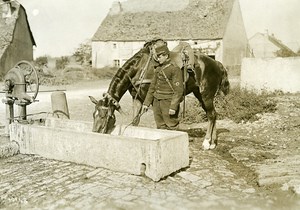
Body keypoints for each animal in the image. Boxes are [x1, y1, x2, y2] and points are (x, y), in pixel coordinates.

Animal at [89, 39, 230, 149]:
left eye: (105, 115)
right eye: (93, 114)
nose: (95, 132)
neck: (140, 68)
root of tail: (217, 63)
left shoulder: (151, 99)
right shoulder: (137, 99)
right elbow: (135, 121)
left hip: (206, 95)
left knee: (211, 115)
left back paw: (206, 142)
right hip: (199, 95)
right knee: (213, 115)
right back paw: (213, 143)